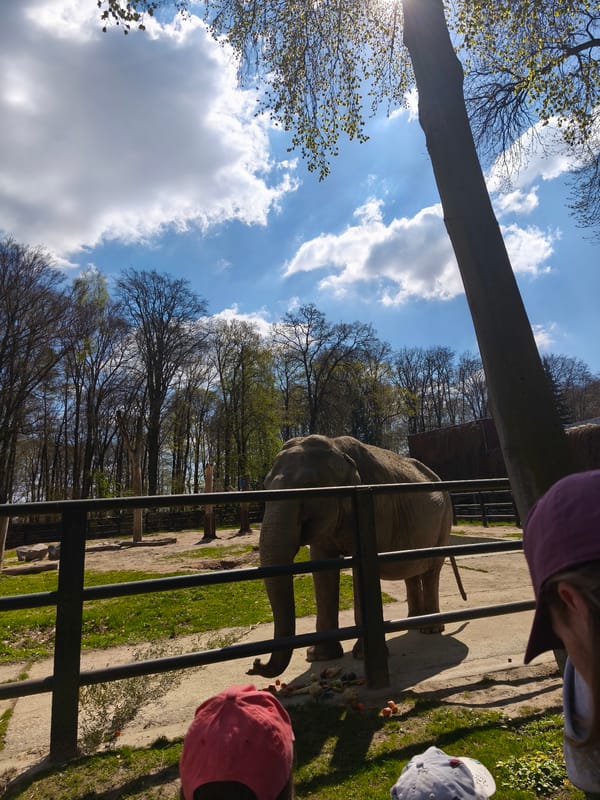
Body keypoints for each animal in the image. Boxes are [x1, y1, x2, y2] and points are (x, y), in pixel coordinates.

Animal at [249, 434, 458, 678]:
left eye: (307, 487)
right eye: (265, 487)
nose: (255, 664)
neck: (337, 447)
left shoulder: (376, 510)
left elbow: (360, 571)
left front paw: (361, 657)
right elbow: (323, 569)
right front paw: (319, 657)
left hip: (444, 522)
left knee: (431, 569)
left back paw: (430, 629)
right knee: (411, 570)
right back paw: (412, 623)